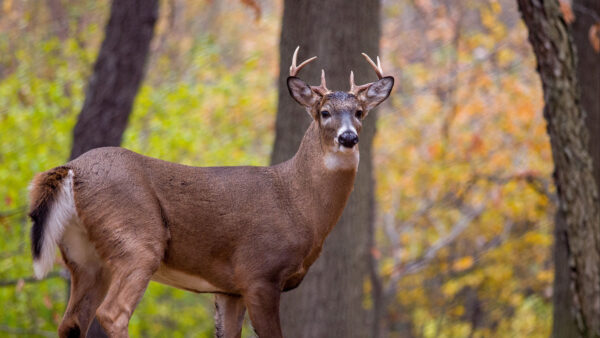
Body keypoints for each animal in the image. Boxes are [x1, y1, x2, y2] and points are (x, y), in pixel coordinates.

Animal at [27, 47, 394, 338]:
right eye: (324, 113)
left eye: (359, 113)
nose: (349, 137)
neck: (299, 204)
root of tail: (72, 169)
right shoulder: (259, 273)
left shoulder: (228, 289)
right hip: (136, 239)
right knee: (112, 313)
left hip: (85, 258)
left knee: (71, 323)